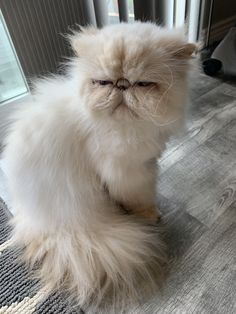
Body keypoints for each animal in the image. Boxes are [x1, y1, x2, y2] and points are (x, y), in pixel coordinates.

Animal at [2, 22, 195, 312]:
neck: (125, 127)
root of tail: (38, 220)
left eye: (143, 84)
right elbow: (139, 199)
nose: (121, 85)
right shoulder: (127, 173)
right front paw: (150, 214)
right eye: (103, 82)